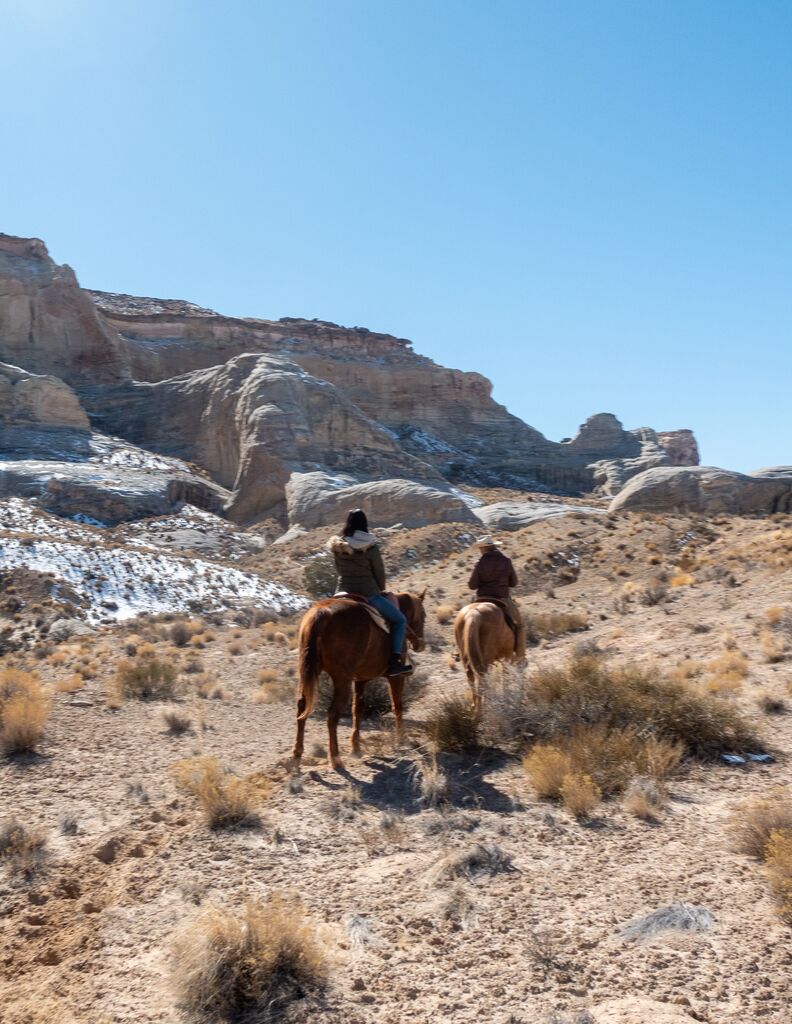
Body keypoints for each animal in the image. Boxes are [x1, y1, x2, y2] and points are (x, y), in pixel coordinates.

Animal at [290, 593, 426, 770]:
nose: (420, 644)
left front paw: (356, 748)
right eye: (424, 615)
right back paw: (335, 758)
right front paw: (402, 738)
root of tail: (321, 615)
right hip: (341, 678)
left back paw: (297, 755)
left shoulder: (361, 679)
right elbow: (398, 705)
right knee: (333, 714)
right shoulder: (396, 677)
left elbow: (358, 709)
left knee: (302, 707)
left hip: (308, 672)